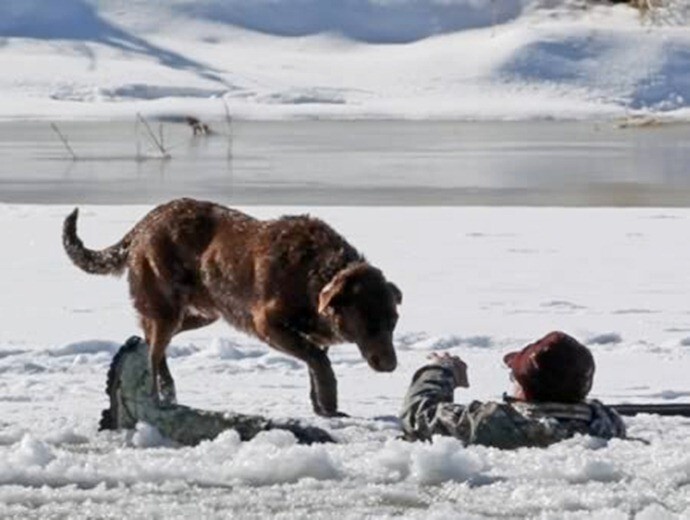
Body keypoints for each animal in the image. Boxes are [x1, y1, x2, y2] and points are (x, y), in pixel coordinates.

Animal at [63, 197, 400, 416]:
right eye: (368, 322)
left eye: (393, 322)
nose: (391, 365)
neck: (316, 274)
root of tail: (145, 222)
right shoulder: (267, 324)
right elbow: (318, 361)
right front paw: (329, 403)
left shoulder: (314, 333)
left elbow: (316, 364)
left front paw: (321, 407)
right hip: (167, 309)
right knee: (154, 350)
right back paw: (157, 397)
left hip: (203, 313)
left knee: (151, 339)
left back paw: (167, 389)